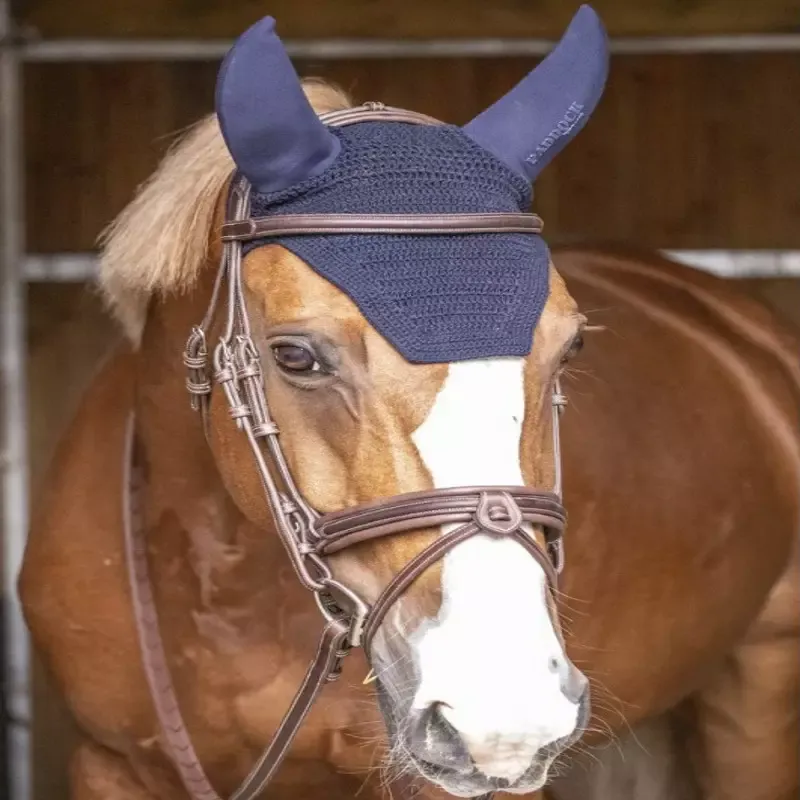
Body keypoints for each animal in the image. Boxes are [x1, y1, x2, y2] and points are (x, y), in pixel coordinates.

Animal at [19, 9, 800, 800]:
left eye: (571, 347)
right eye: (295, 356)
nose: (504, 708)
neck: (230, 596)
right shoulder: (110, 765)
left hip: (762, 680)